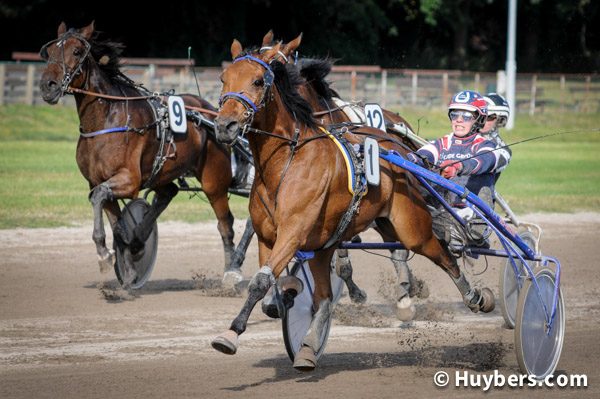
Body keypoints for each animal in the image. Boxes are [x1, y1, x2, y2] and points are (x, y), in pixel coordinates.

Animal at [39, 21, 237, 290]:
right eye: (49, 52)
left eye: (77, 51)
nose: (47, 85)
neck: (107, 118)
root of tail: (213, 114)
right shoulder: (98, 180)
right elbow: (110, 216)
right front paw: (128, 268)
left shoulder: (129, 180)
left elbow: (98, 197)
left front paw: (104, 254)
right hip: (162, 172)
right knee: (168, 192)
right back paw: (139, 238)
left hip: (214, 180)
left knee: (225, 224)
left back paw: (231, 275)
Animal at [212, 40, 496, 372]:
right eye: (223, 79)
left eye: (258, 81)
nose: (225, 126)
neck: (288, 160)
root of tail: (397, 148)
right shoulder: (270, 236)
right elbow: (272, 280)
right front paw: (284, 295)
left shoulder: (293, 232)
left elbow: (260, 281)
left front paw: (231, 333)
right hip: (352, 235)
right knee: (325, 295)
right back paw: (311, 344)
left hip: (411, 226)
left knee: (441, 254)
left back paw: (472, 297)